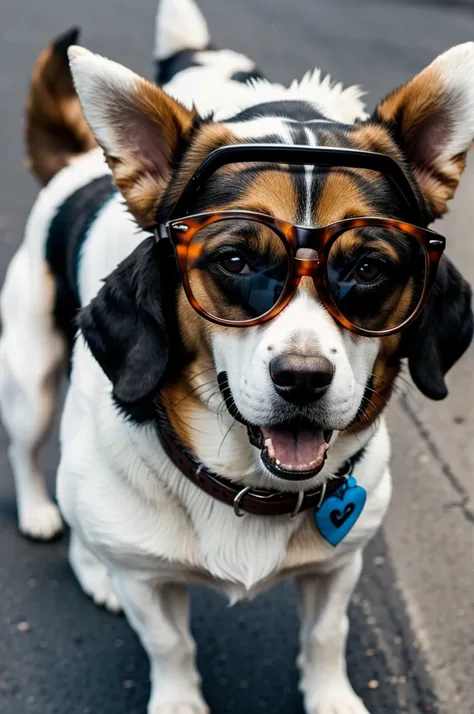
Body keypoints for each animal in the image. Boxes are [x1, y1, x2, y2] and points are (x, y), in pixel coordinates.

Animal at [0, 0, 474, 708]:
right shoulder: (149, 584)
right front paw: (178, 699)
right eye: (235, 260)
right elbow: (169, 643)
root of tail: (79, 163)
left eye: (367, 267)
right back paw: (48, 522)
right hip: (30, 382)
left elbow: (327, 635)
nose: (302, 380)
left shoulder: (340, 564)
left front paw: (330, 696)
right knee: (35, 458)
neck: (248, 483)